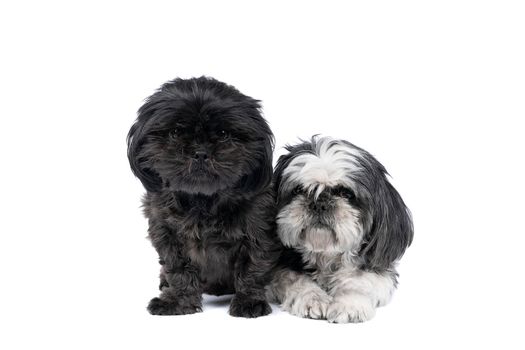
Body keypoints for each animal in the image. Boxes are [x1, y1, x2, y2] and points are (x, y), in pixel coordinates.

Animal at [126, 76, 278, 318]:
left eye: (223, 134)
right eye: (175, 133)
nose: (200, 153)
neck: (202, 200)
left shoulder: (258, 231)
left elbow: (252, 267)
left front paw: (249, 301)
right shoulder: (167, 234)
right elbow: (178, 270)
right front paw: (177, 301)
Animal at [266, 136, 414, 322]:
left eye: (346, 194)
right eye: (298, 190)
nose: (319, 204)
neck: (326, 256)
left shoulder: (378, 269)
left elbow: (360, 281)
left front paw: (349, 304)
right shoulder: (281, 269)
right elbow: (296, 280)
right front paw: (313, 298)